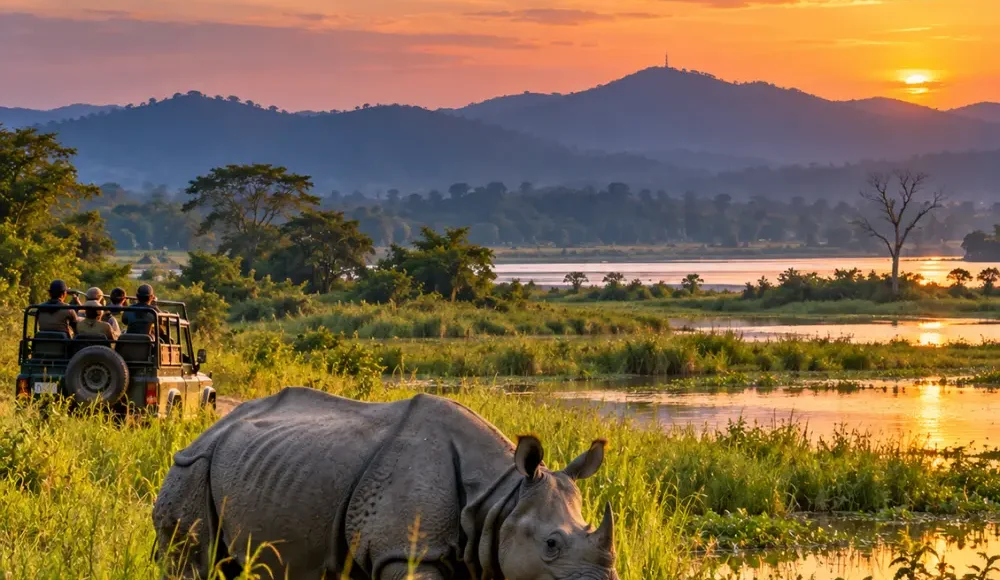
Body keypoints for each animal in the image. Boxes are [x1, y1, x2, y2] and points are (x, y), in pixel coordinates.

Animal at [153, 387, 620, 580]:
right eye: (551, 544)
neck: (499, 496)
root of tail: (209, 427)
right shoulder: (405, 551)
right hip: (192, 467)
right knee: (193, 563)